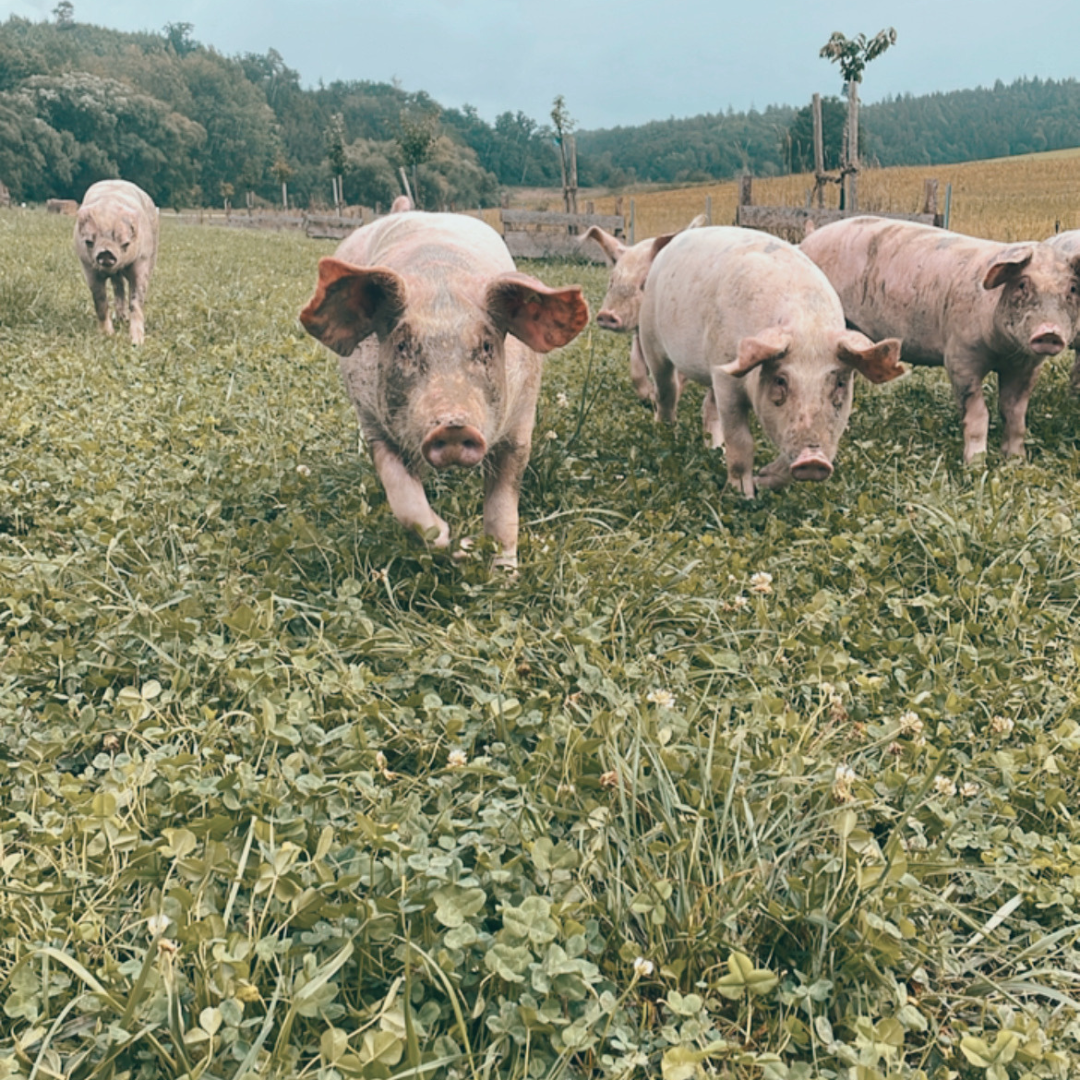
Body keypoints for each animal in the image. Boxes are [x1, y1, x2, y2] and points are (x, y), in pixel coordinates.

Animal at [75, 179, 157, 343]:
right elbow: (100, 301)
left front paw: (137, 342)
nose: (106, 252)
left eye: (125, 242)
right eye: (89, 241)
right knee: (118, 286)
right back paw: (120, 319)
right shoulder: (87, 266)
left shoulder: (142, 259)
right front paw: (108, 336)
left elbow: (136, 301)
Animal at [300, 205, 591, 570]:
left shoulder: (522, 418)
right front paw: (449, 541)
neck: (440, 280)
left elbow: (504, 505)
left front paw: (502, 572)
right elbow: (403, 497)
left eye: (485, 347)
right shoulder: (371, 421)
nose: (452, 426)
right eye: (403, 347)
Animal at [583, 214, 708, 406]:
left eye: (644, 283)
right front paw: (648, 398)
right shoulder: (639, 333)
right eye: (612, 281)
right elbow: (636, 367)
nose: (606, 315)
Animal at [635, 230, 907, 498]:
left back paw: (715, 450)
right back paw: (667, 435)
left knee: (707, 407)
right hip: (650, 335)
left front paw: (760, 479)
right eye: (780, 380)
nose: (813, 460)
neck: (808, 326)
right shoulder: (726, 377)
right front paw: (743, 494)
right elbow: (741, 440)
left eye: (840, 383)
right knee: (666, 390)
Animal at [799, 214, 1080, 460]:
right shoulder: (959, 355)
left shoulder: (1026, 366)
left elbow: (1015, 414)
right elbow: (977, 413)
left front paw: (1015, 460)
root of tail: (808, 238)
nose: (1049, 332)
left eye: (1073, 289)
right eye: (1022, 285)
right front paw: (975, 465)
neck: (1003, 351)